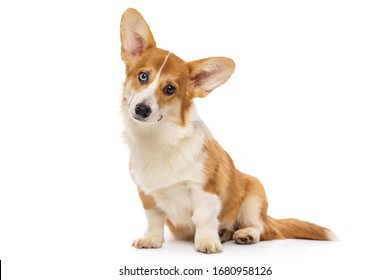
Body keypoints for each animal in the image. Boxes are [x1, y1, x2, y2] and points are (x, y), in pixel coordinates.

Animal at [119, 8, 332, 254]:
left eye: (170, 89)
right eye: (143, 76)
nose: (141, 109)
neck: (159, 137)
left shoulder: (206, 190)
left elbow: (203, 218)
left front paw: (207, 242)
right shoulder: (146, 193)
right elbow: (154, 219)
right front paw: (151, 239)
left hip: (254, 196)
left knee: (264, 229)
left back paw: (245, 234)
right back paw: (225, 233)